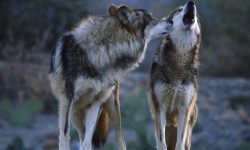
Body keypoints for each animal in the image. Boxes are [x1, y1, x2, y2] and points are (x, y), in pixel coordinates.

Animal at [48, 3, 174, 150]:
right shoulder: (67, 100)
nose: (171, 21)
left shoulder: (96, 101)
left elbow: (87, 141)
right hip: (75, 113)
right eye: (152, 20)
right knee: (81, 135)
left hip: (112, 108)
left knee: (119, 138)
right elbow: (65, 135)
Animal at [147, 1, 200, 150]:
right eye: (179, 10)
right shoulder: (160, 107)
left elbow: (179, 142)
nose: (191, 3)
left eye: (196, 13)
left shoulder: (184, 109)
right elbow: (161, 141)